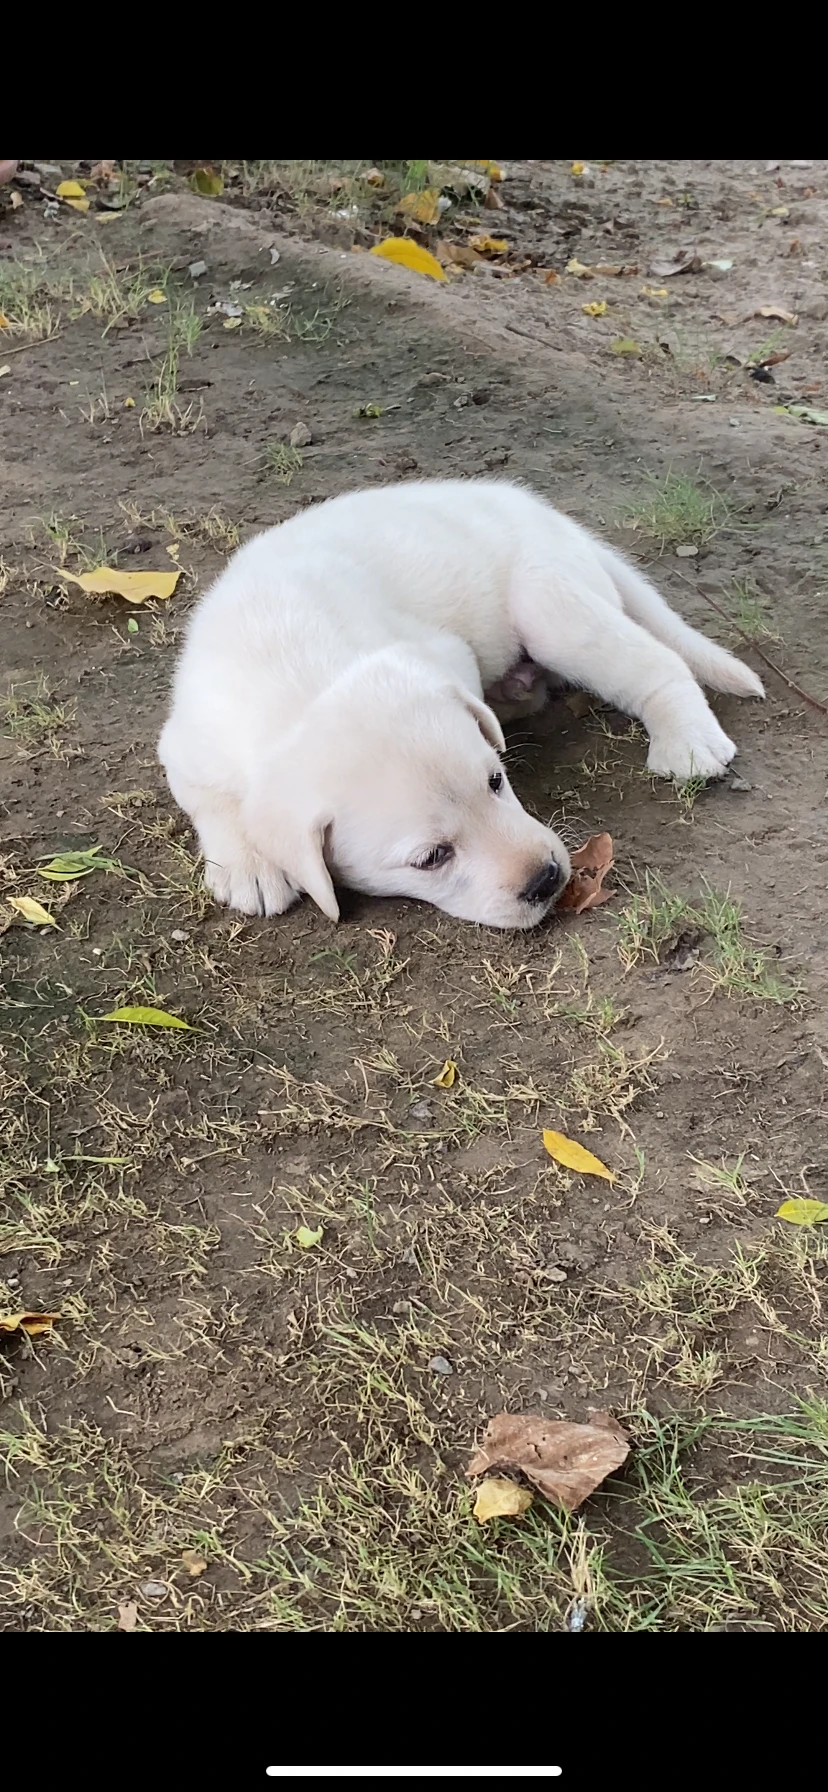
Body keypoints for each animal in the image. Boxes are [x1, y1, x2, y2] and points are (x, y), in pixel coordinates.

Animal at [156, 480, 763, 924]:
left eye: (496, 781)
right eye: (430, 859)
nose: (547, 878)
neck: (298, 680)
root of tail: (559, 522)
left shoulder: (442, 653)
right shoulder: (187, 744)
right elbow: (209, 800)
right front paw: (249, 864)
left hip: (551, 604)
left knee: (658, 664)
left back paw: (687, 740)